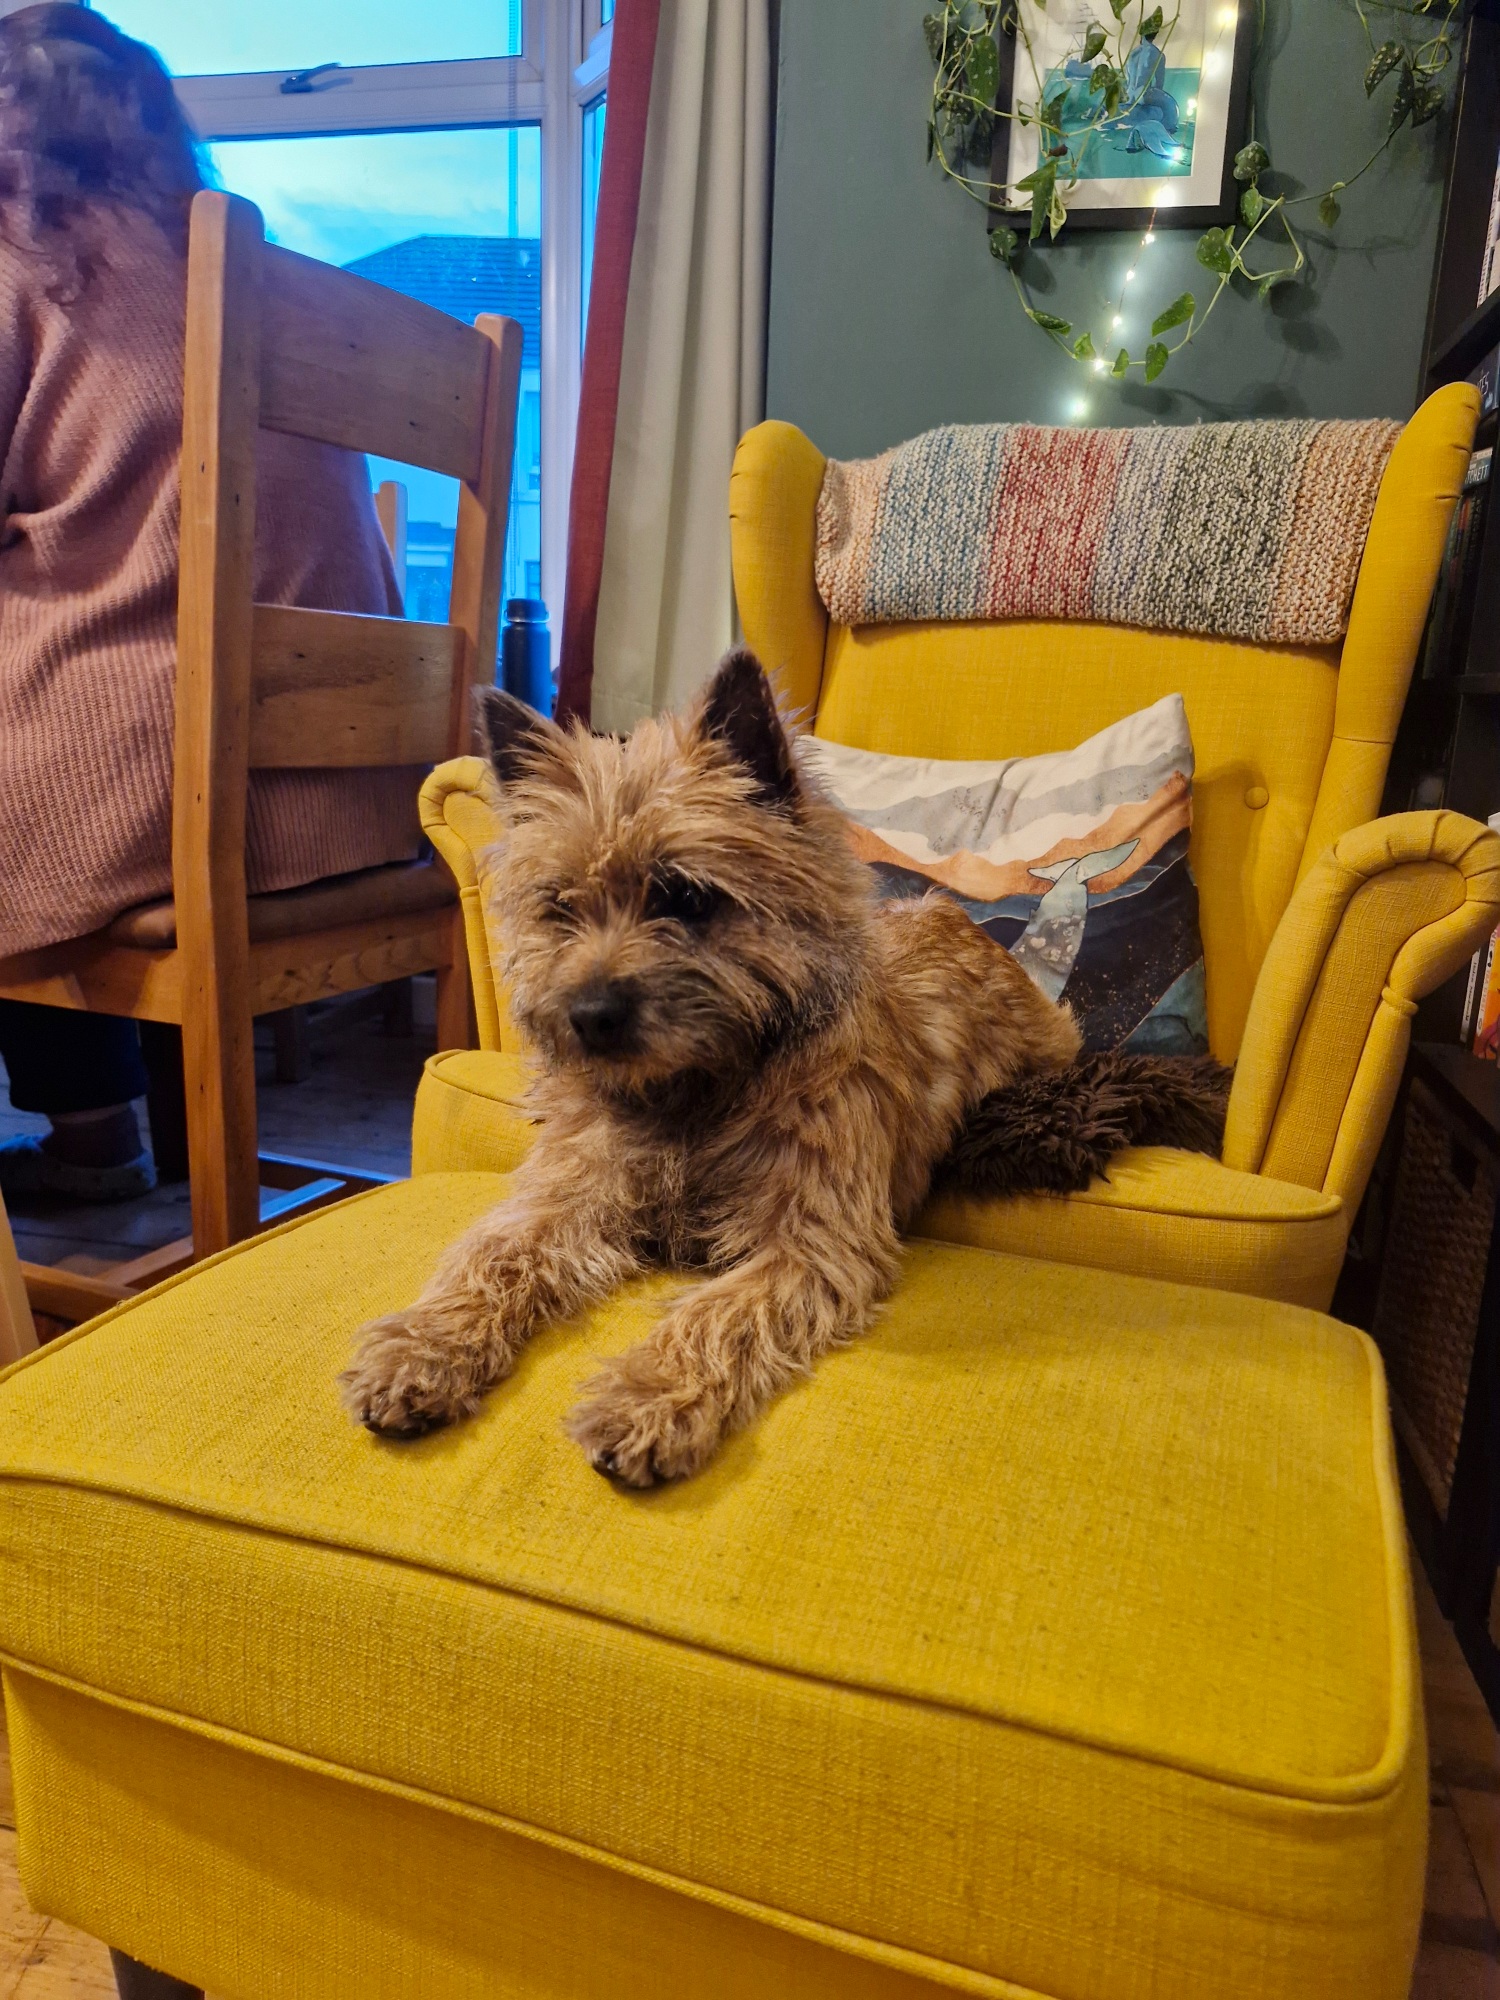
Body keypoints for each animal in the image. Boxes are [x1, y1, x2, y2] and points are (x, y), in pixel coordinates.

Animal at [340, 648, 1082, 1485]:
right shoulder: (572, 1194)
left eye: (687, 896)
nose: (589, 1016)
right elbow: (495, 1253)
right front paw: (422, 1347)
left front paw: (645, 1397)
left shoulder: (810, 1241)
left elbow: (715, 1313)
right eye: (560, 906)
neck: (696, 1092)